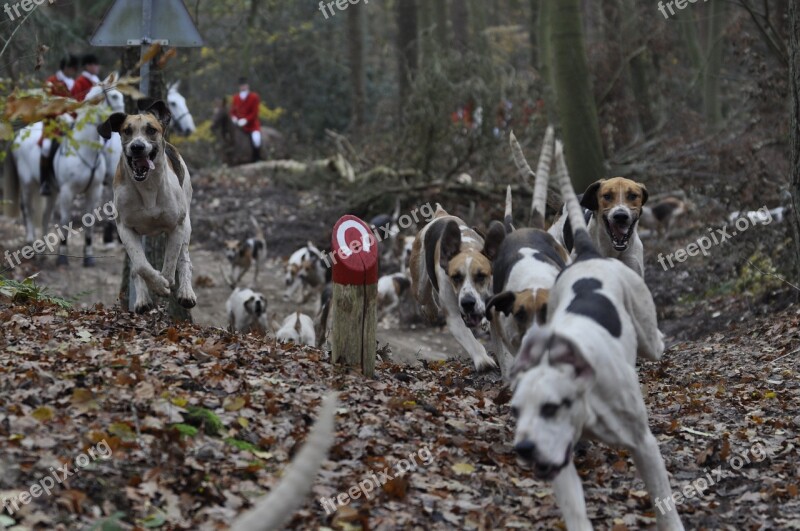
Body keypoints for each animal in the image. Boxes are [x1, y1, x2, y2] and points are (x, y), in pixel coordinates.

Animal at [98, 99, 197, 314]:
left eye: (151, 129)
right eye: (127, 130)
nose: (137, 147)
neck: (148, 187)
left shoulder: (177, 226)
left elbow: (171, 262)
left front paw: (164, 283)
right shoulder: (125, 228)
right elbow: (141, 266)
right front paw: (157, 286)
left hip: (187, 223)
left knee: (184, 258)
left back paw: (186, 292)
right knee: (137, 267)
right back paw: (143, 300)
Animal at [410, 206, 504, 372]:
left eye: (481, 276)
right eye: (456, 277)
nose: (468, 302)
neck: (468, 248)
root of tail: (441, 215)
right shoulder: (454, 317)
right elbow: (470, 339)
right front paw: (483, 360)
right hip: (419, 282)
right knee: (423, 294)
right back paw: (430, 309)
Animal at [512, 142, 680, 531]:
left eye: (632, 196)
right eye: (516, 411)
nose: (524, 449)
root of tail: (590, 256)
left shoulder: (644, 445)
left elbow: (664, 503)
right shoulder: (558, 454)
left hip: (647, 333)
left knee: (654, 341)